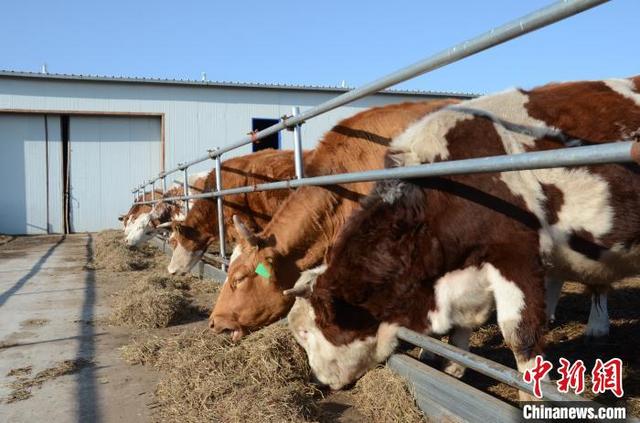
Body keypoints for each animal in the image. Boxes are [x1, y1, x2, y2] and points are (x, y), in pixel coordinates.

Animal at [288, 75, 640, 398]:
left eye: (306, 332)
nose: (320, 381)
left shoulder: (517, 255)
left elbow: (520, 334)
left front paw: (533, 395)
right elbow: (461, 327)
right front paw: (453, 366)